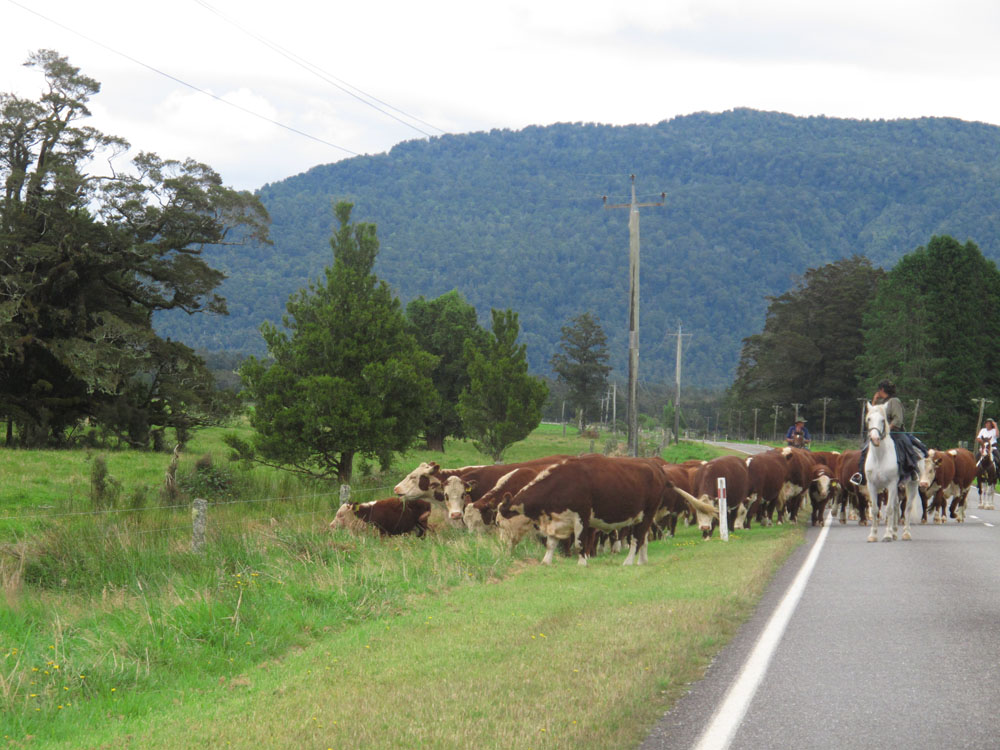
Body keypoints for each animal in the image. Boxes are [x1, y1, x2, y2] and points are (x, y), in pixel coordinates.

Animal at [864, 402, 916, 544]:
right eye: (869, 419)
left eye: (883, 420)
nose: (875, 439)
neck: (880, 457)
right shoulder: (872, 485)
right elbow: (875, 509)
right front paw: (873, 535)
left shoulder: (891, 484)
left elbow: (889, 509)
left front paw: (887, 535)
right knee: (897, 506)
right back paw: (895, 532)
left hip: (912, 485)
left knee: (908, 508)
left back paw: (906, 533)